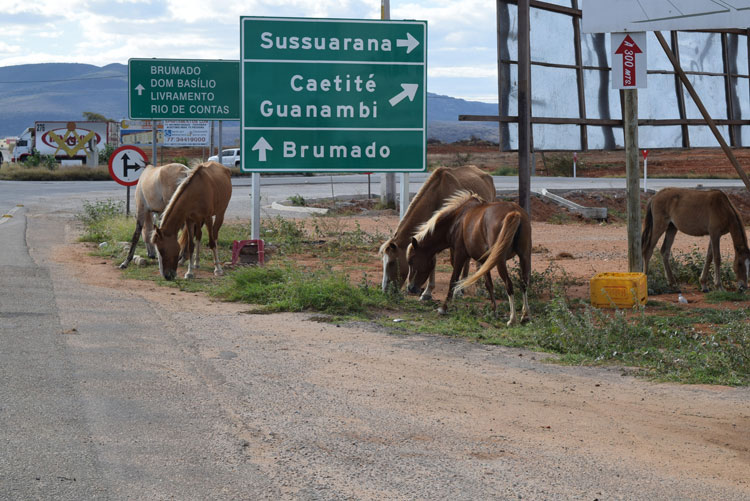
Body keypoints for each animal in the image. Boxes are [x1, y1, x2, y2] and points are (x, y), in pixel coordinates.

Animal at [378, 164, 496, 298]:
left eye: (392, 262)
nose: (385, 290)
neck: (437, 195)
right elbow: (433, 260)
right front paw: (427, 292)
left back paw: (477, 288)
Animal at [406, 190, 536, 324]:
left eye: (411, 261)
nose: (410, 288)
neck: (457, 220)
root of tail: (514, 213)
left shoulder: (459, 255)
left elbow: (453, 280)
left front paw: (443, 308)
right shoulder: (484, 260)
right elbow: (489, 284)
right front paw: (494, 311)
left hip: (500, 261)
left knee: (509, 285)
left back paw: (512, 318)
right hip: (525, 256)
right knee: (524, 283)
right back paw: (525, 315)